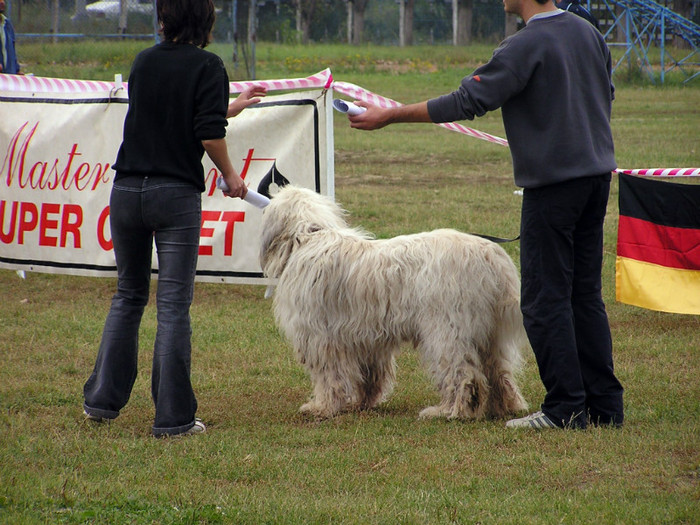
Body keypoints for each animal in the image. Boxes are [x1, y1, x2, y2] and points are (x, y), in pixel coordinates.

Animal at [260, 186, 528, 420]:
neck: (310, 235)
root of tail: (491, 256)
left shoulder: (320, 337)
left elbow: (329, 376)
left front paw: (322, 407)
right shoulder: (366, 338)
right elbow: (369, 376)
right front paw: (361, 403)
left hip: (447, 330)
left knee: (463, 374)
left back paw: (450, 411)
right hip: (489, 334)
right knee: (498, 372)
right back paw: (505, 406)